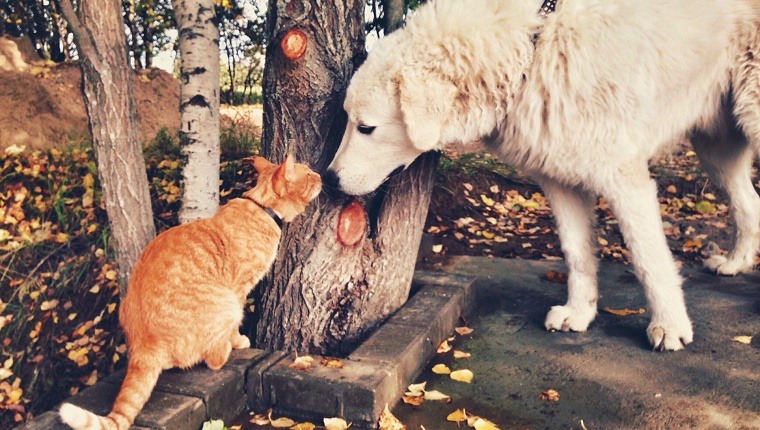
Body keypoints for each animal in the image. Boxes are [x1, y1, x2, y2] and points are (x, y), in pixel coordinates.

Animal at [58, 155, 320, 430]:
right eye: (308, 174)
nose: (321, 176)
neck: (262, 208)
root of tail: (142, 344)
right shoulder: (238, 288)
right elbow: (235, 327)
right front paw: (238, 340)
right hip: (226, 303)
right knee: (214, 359)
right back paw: (227, 348)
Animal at [330, 0, 760, 352]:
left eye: (366, 128)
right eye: (347, 119)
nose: (330, 180)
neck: (533, 46)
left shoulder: (625, 179)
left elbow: (648, 259)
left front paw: (669, 326)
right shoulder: (559, 180)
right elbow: (577, 253)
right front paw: (580, 313)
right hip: (716, 147)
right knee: (749, 204)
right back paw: (736, 263)